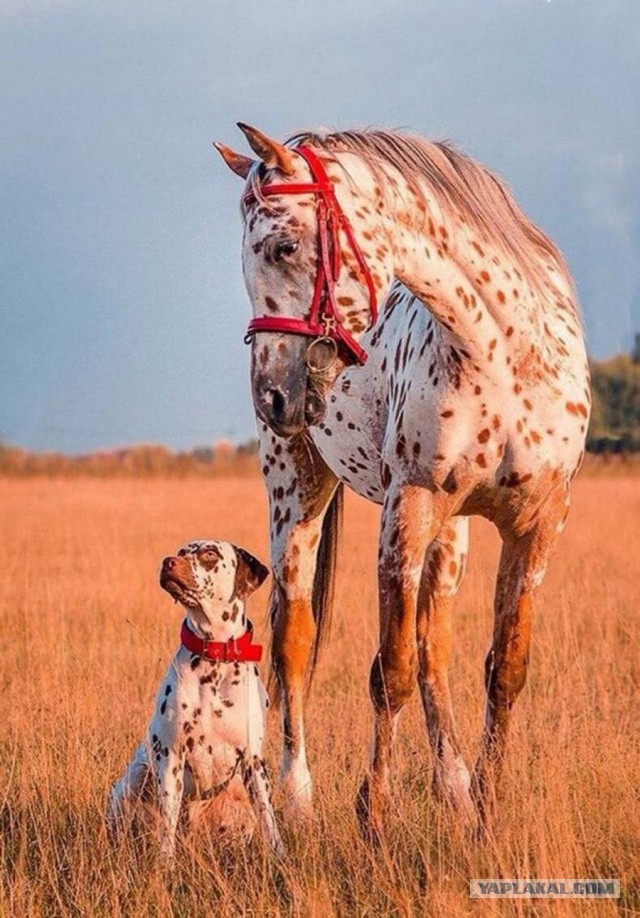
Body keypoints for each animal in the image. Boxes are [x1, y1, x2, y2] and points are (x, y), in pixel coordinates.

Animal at [108, 540, 284, 864]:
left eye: (210, 554)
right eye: (180, 551)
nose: (167, 562)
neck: (214, 656)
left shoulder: (253, 761)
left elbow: (268, 818)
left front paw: (281, 856)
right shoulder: (171, 756)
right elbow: (167, 822)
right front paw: (165, 865)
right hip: (135, 777)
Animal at [214, 124, 592, 840]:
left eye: (283, 246)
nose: (270, 396)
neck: (501, 352)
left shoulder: (538, 526)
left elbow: (503, 669)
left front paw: (487, 816)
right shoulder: (407, 509)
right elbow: (389, 671)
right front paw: (374, 818)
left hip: (455, 532)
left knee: (434, 645)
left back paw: (455, 788)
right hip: (296, 493)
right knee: (295, 641)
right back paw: (298, 798)